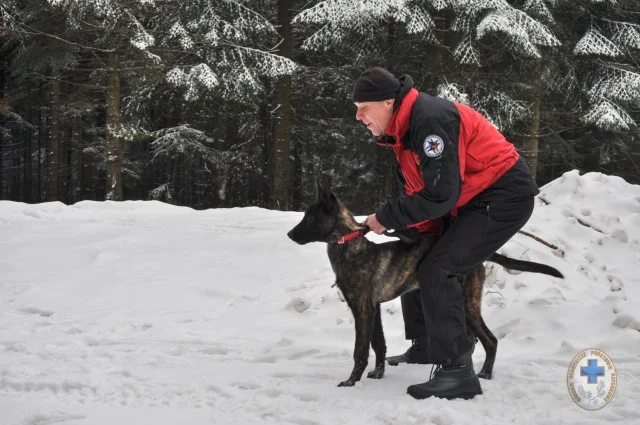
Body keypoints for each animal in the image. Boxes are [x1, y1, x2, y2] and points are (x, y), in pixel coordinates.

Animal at [288, 177, 564, 386]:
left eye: (310, 217)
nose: (290, 234)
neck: (350, 246)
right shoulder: (374, 309)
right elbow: (379, 345)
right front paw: (377, 373)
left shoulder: (362, 310)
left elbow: (361, 350)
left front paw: (351, 381)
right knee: (475, 340)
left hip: (467, 304)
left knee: (490, 340)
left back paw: (484, 373)